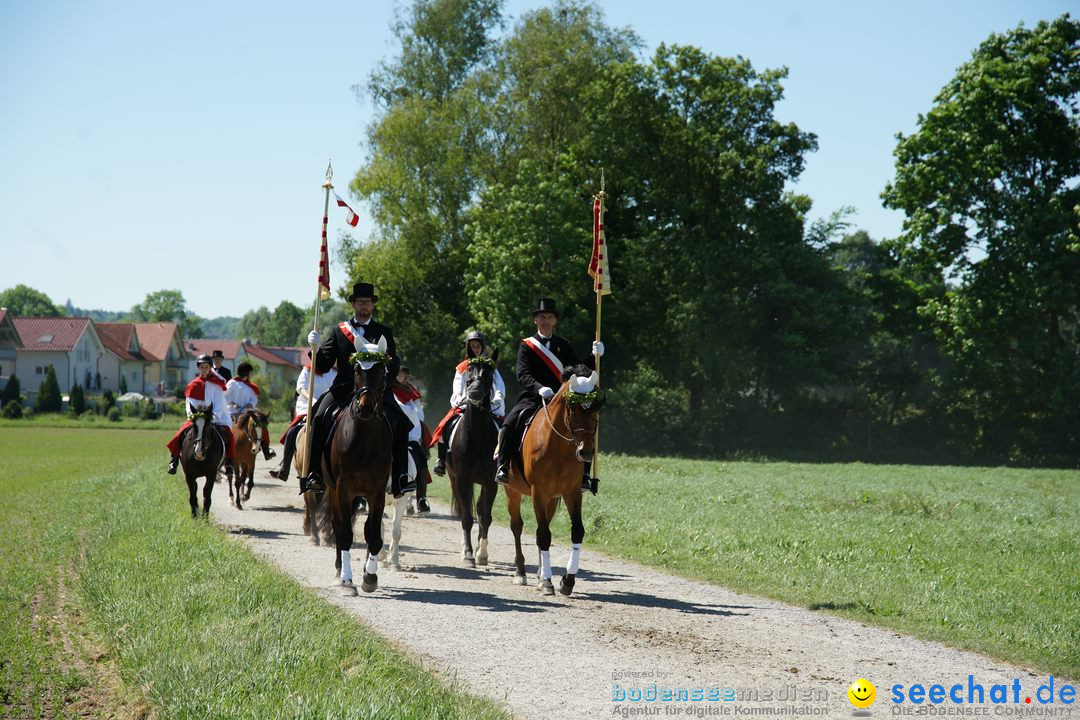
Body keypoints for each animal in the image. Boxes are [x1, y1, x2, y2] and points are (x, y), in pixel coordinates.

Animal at [308, 341, 397, 595]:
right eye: (357, 369)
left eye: (381, 370)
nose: (365, 408)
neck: (364, 439)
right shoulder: (343, 488)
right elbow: (345, 532)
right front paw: (348, 581)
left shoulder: (377, 492)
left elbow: (374, 534)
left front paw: (370, 576)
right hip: (332, 490)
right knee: (338, 526)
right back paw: (339, 572)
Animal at [444, 354, 498, 569]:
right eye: (469, 372)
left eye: (490, 374)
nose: (474, 392)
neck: (477, 436)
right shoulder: (462, 480)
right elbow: (466, 518)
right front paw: (467, 555)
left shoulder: (491, 483)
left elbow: (486, 517)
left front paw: (481, 554)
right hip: (453, 479)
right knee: (463, 510)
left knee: (481, 510)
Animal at [503, 367, 604, 595]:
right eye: (573, 408)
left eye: (595, 408)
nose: (586, 452)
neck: (558, 446)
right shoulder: (538, 492)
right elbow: (543, 535)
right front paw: (548, 582)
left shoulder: (571, 492)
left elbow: (577, 531)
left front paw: (567, 580)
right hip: (512, 492)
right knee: (517, 526)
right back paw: (521, 573)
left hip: (551, 499)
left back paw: (540, 574)